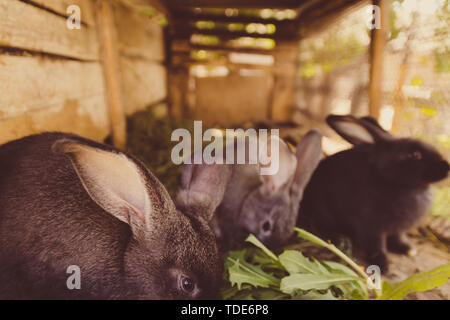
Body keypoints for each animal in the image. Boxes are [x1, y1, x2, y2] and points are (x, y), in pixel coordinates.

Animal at [298, 114, 448, 272]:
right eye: (415, 154)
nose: (446, 167)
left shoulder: (397, 229)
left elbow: (398, 237)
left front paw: (407, 249)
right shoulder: (372, 227)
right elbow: (377, 245)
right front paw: (383, 264)